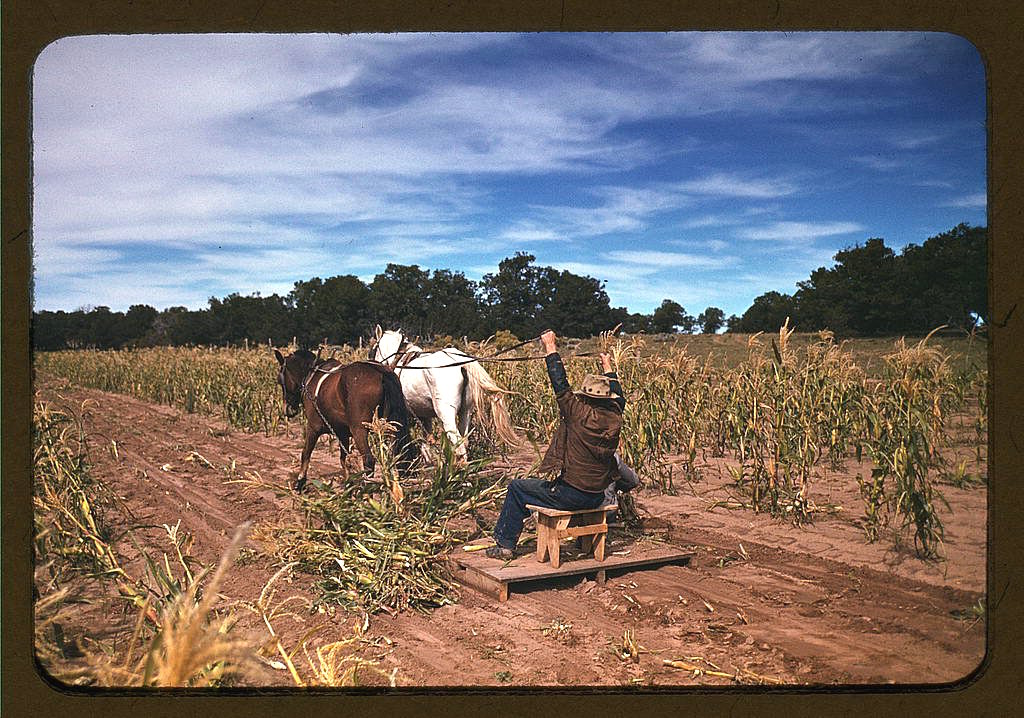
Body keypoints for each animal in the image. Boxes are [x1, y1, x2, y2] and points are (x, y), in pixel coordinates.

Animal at [276, 348, 415, 493]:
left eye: (280, 380)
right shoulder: (342, 433)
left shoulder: (313, 428)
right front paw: (348, 486)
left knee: (368, 460)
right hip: (391, 428)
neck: (311, 376)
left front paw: (300, 482)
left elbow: (306, 453)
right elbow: (344, 459)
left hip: (359, 431)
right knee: (397, 457)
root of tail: (381, 373)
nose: (287, 409)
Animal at [370, 325, 520, 458]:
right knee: (464, 441)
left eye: (374, 348)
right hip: (466, 412)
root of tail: (461, 361)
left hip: (446, 414)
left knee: (458, 445)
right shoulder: (424, 415)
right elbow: (426, 441)